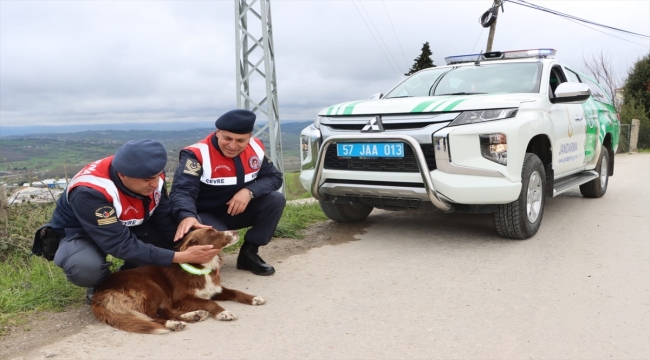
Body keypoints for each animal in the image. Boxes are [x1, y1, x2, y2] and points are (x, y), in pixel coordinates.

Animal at [90, 228, 264, 334]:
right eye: (213, 233)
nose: (235, 231)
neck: (201, 268)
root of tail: (99, 293)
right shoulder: (180, 298)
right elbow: (209, 302)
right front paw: (223, 312)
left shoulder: (214, 289)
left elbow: (235, 292)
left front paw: (254, 298)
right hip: (152, 288)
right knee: (152, 315)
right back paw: (173, 324)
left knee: (164, 312)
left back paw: (193, 316)